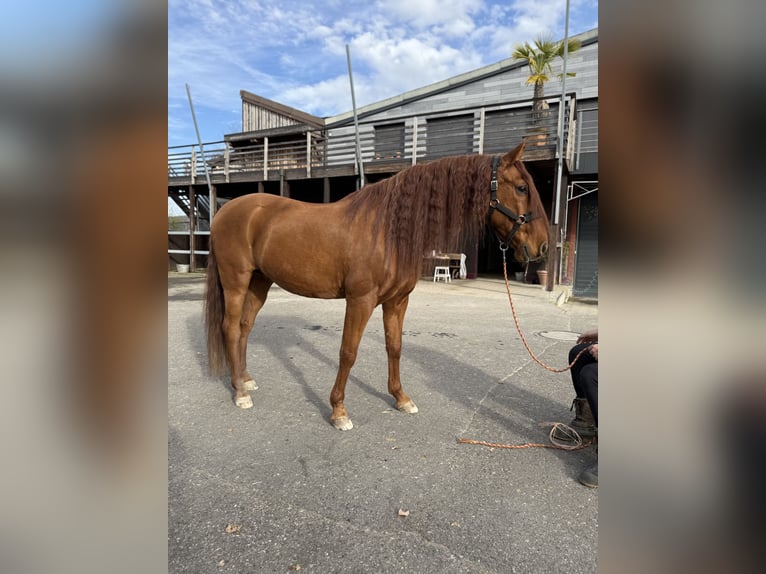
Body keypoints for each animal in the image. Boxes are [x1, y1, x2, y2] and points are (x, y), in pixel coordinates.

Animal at [204, 141, 550, 430]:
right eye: (521, 187)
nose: (543, 247)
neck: (387, 229)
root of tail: (225, 210)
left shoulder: (397, 301)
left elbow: (394, 347)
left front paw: (401, 398)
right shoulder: (360, 300)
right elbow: (348, 352)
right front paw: (339, 411)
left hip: (259, 282)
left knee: (245, 327)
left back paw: (245, 380)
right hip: (236, 281)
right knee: (230, 328)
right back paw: (239, 393)